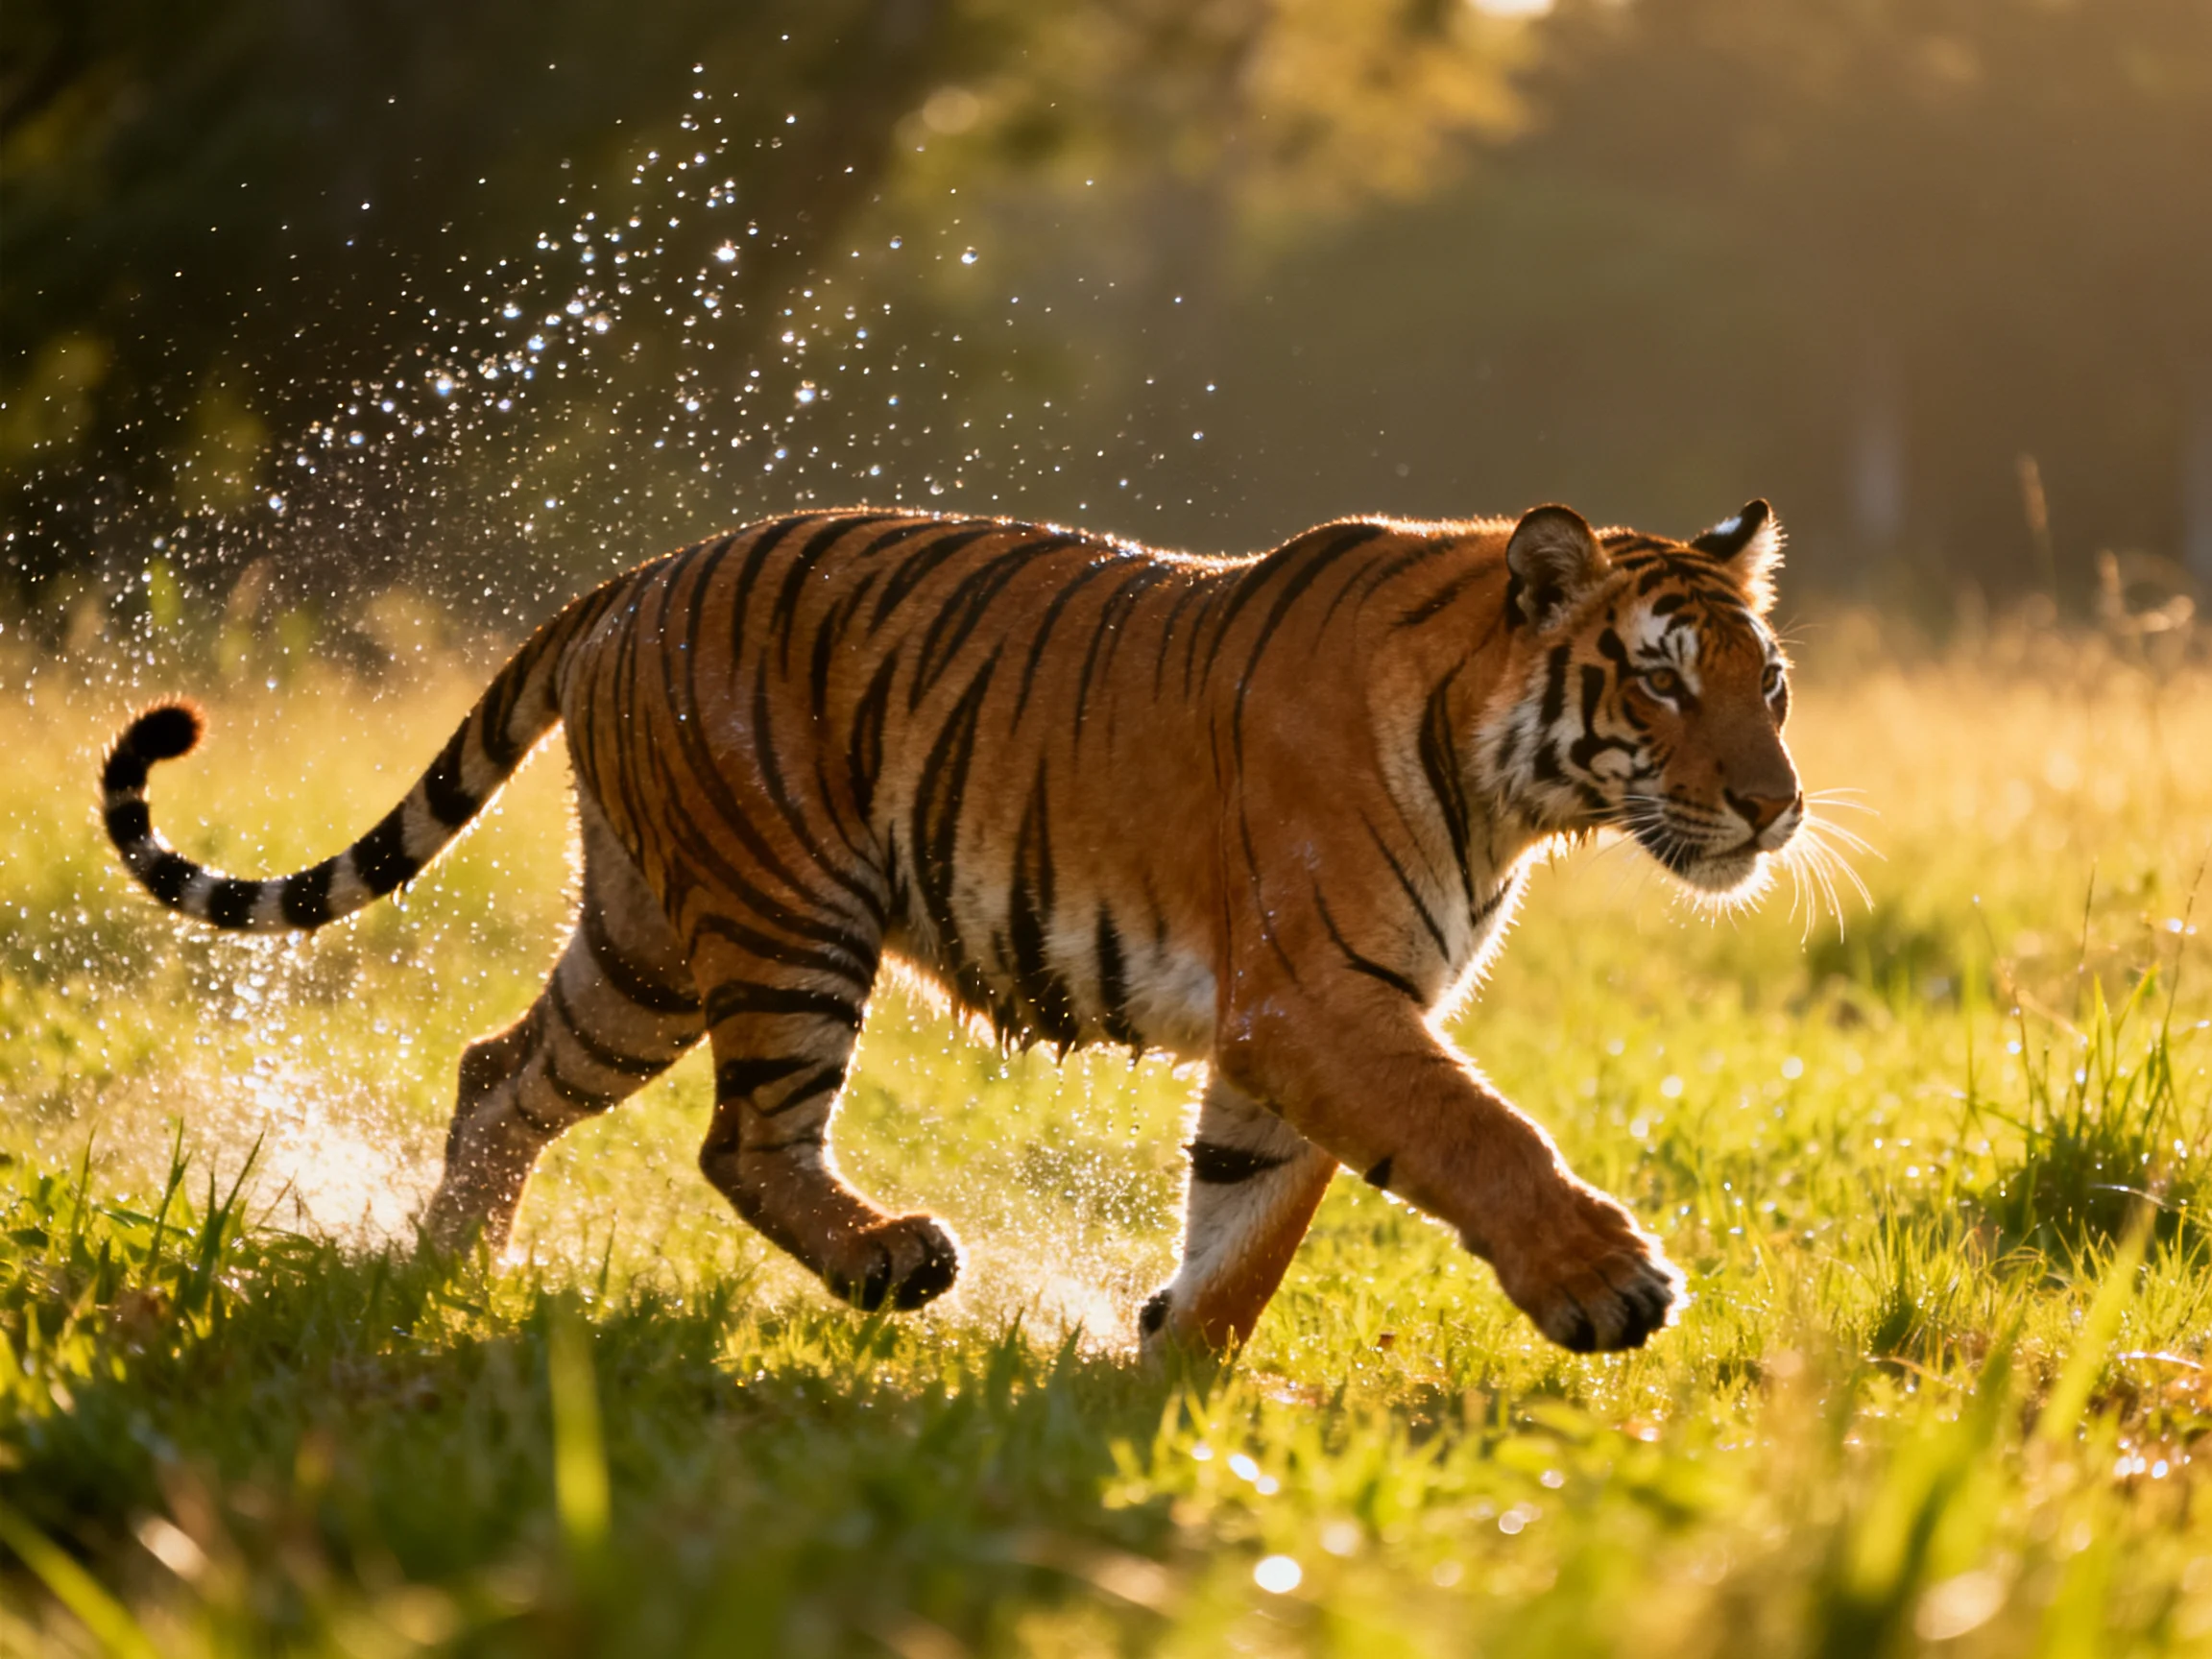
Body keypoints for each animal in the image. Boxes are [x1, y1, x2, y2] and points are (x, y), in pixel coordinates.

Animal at [102, 498, 1804, 1354]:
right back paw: (888, 1263)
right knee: (744, 1143)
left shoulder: (1291, 1034)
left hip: (643, 946)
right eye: (1662, 679)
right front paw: (1608, 1285)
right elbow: (1479, 1134)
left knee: (498, 1072)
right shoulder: (1321, 1000)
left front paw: (1157, 1399)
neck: (1511, 790)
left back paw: (449, 1276)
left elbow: (1243, 1237)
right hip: (791, 918)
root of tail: (631, 575)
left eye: (1769, 682)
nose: (1778, 808)